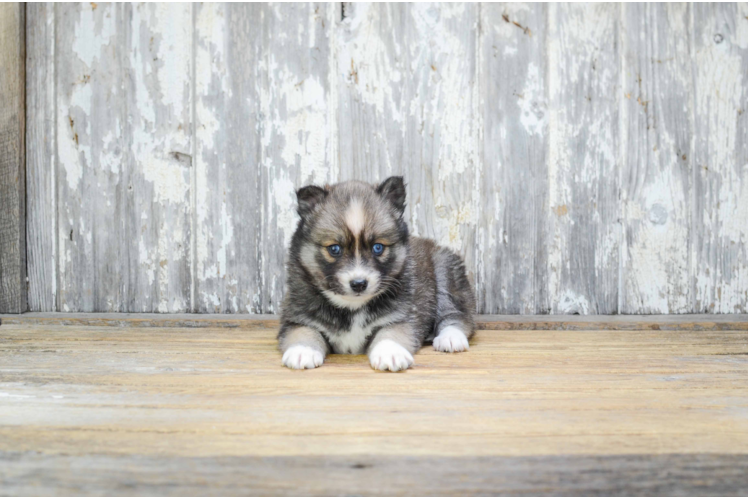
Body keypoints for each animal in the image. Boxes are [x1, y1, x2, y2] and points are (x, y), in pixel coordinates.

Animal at [278, 177, 476, 372]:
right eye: (334, 249)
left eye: (378, 247)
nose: (359, 284)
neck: (353, 307)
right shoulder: (296, 318)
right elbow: (303, 331)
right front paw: (302, 350)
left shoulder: (400, 317)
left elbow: (391, 333)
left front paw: (390, 353)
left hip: (445, 270)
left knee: (457, 314)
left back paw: (451, 338)